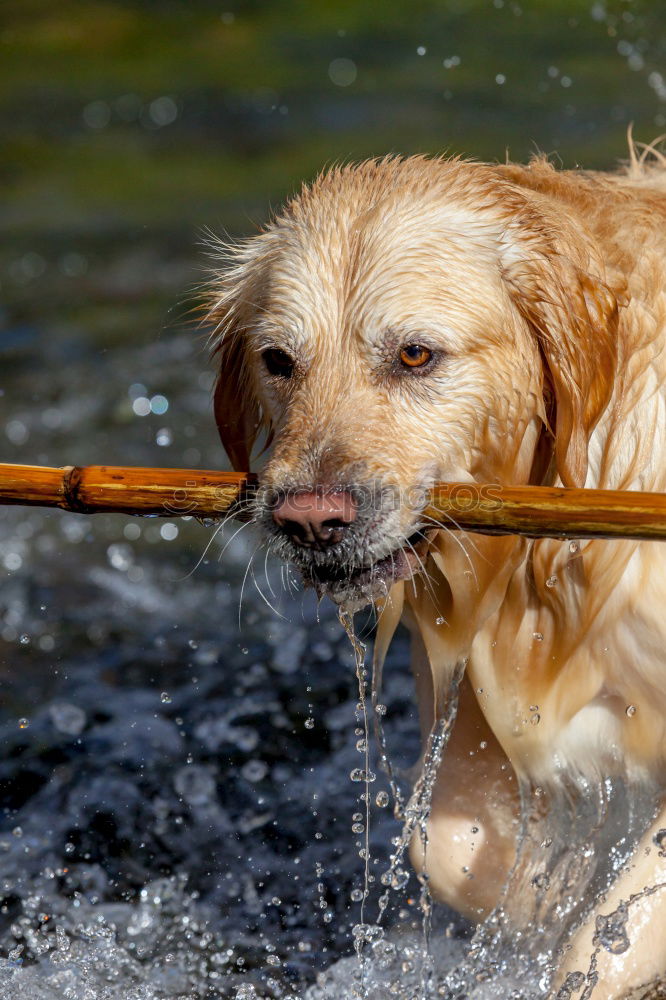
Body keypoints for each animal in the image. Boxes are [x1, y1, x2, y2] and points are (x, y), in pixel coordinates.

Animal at [208, 150, 664, 1000]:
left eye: (416, 354)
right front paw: (536, 909)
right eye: (278, 361)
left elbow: (602, 945)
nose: (309, 520)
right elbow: (451, 849)